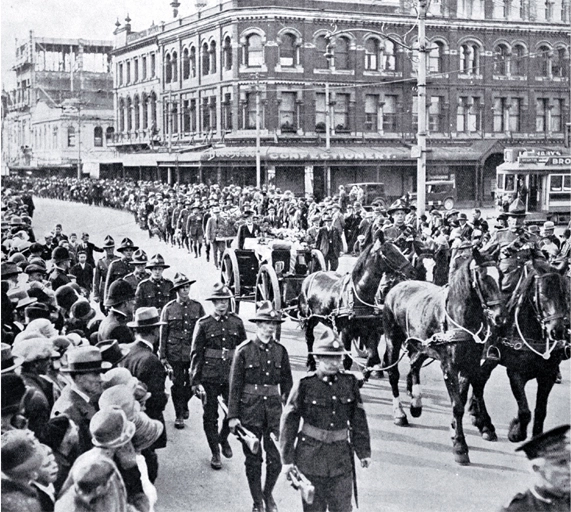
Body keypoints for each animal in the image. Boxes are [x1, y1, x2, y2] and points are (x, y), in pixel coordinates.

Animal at [298, 236, 418, 372]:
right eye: (390, 252)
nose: (413, 272)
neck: (359, 293)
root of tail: (312, 274)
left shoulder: (371, 331)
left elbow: (372, 358)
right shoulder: (346, 331)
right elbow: (347, 360)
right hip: (309, 318)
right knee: (309, 338)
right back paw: (311, 363)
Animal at [384, 252, 504, 464]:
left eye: (501, 276)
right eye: (483, 277)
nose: (500, 317)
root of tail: (399, 285)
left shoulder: (469, 366)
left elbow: (462, 399)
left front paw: (455, 430)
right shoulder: (449, 367)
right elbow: (457, 405)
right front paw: (460, 446)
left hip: (422, 345)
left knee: (414, 364)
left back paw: (416, 403)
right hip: (393, 339)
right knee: (393, 374)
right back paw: (400, 413)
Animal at [474, 260, 571, 444]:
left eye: (565, 293)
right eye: (542, 294)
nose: (557, 331)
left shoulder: (548, 375)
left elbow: (540, 411)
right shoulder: (515, 374)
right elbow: (525, 411)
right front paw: (516, 432)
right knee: (478, 382)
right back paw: (486, 426)